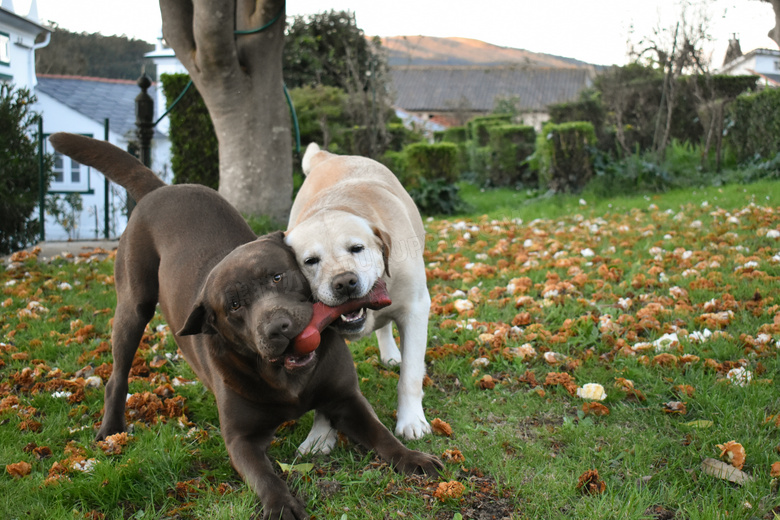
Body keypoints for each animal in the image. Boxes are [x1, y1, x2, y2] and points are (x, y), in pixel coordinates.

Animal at [48, 133, 442, 520]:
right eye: (310, 261)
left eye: (278, 277)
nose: (344, 283)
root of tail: (161, 188)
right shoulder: (242, 440)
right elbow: (267, 475)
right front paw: (305, 463)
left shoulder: (407, 319)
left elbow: (400, 397)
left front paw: (411, 437)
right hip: (134, 307)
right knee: (117, 375)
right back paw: (111, 430)